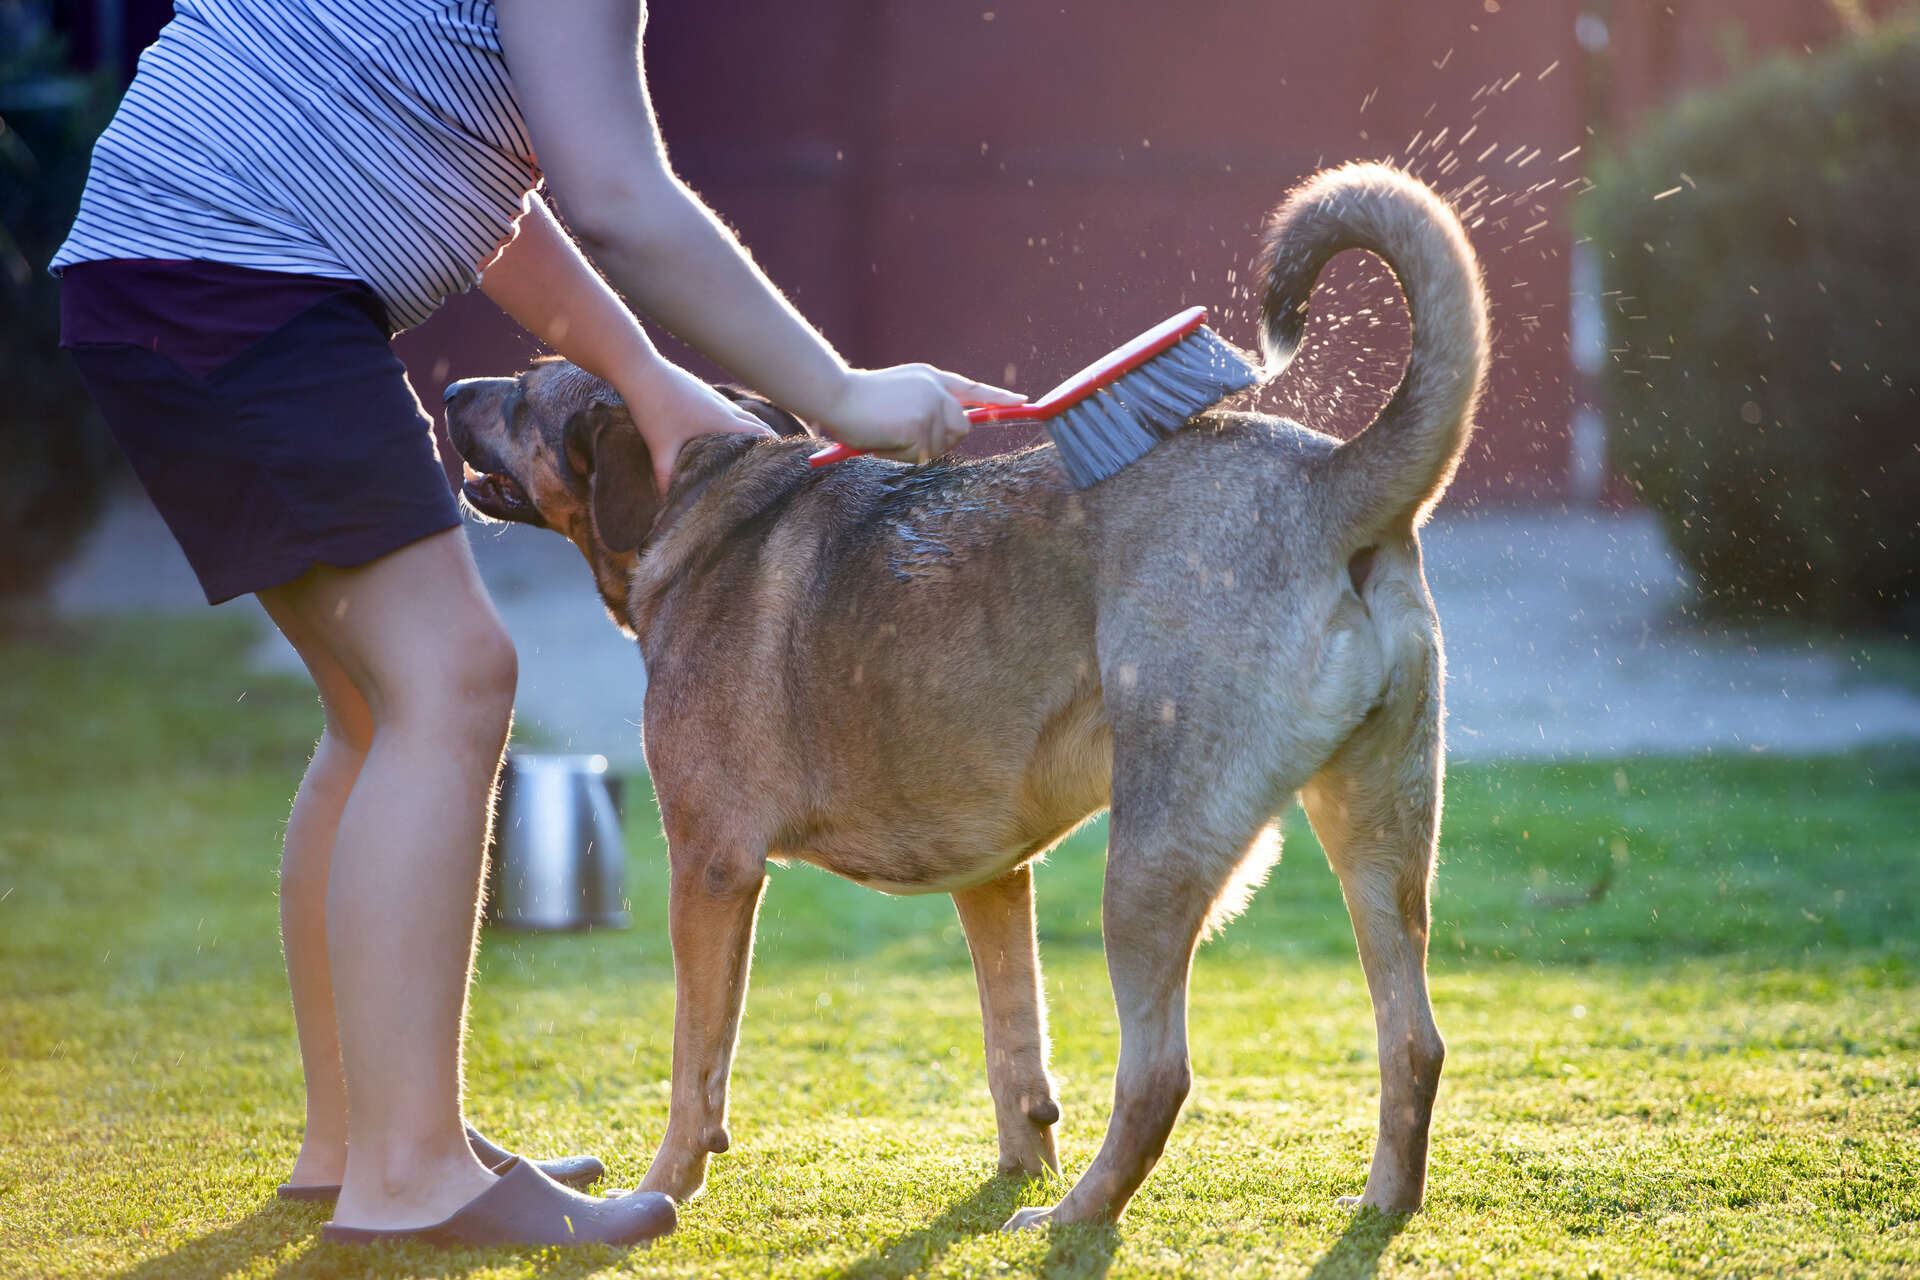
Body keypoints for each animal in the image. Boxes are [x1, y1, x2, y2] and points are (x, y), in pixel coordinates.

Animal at [445, 165, 1482, 1228]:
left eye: (524, 395)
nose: (444, 387)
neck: (705, 497)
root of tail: (1328, 478)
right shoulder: (994, 878)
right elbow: (1014, 1050)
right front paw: (1017, 1165)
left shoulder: (713, 868)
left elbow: (698, 1067)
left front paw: (661, 1191)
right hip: (1379, 837)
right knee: (1414, 1040)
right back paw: (1380, 1206)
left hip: (1150, 862)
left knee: (1159, 1074)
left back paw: (1072, 1218)